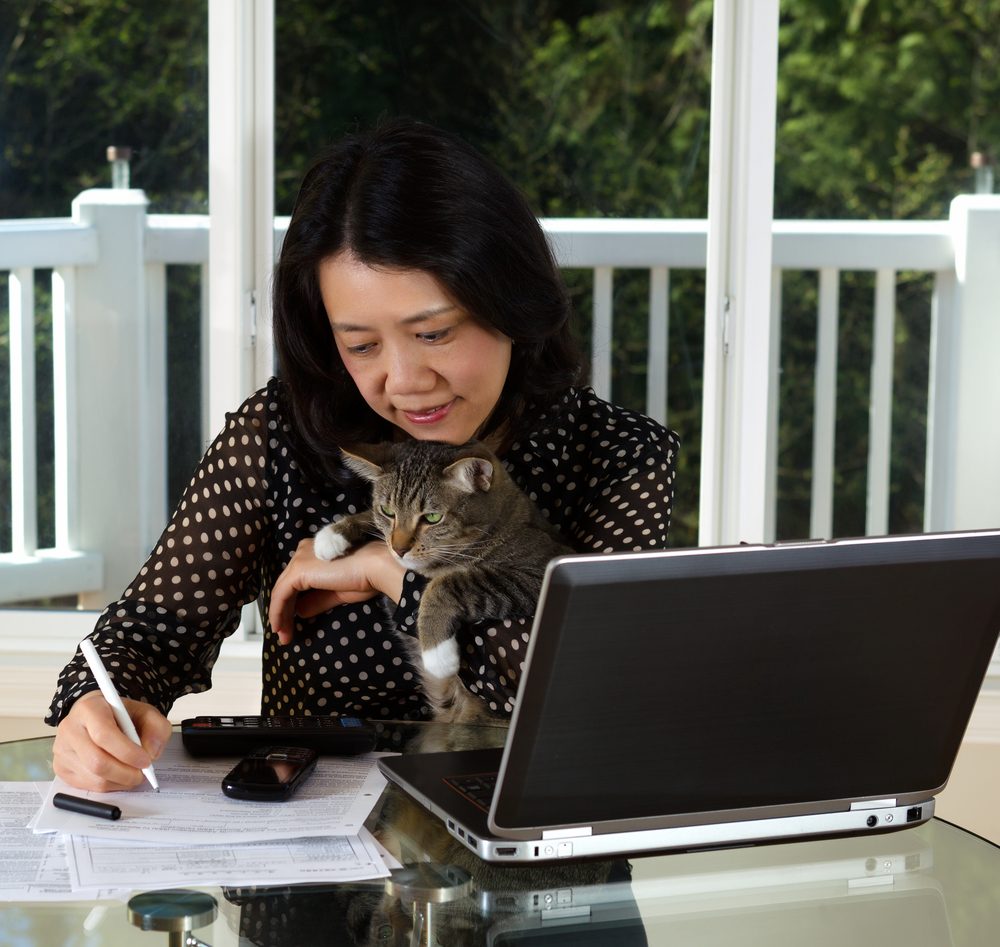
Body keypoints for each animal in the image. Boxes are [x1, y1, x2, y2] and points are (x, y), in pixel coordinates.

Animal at [316, 440, 576, 724]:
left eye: (432, 518)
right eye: (387, 511)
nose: (399, 549)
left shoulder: (539, 572)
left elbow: (445, 583)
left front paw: (437, 652)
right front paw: (333, 534)